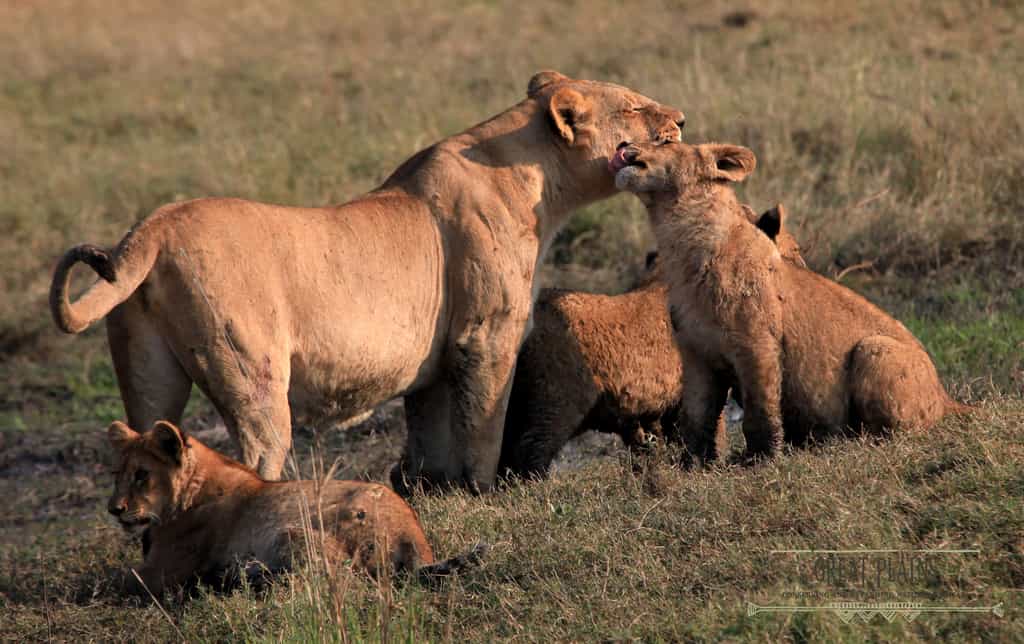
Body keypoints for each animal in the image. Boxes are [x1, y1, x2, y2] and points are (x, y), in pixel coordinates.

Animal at [50, 70, 685, 492]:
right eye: (634, 107)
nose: (681, 120)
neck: (535, 181)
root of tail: (151, 229)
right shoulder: (486, 336)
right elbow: (484, 423)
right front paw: (490, 494)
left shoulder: (434, 362)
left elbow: (431, 437)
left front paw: (433, 493)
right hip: (253, 374)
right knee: (253, 453)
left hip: (147, 374)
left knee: (147, 444)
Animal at [105, 420, 485, 596]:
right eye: (116, 474)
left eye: (141, 475)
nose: (114, 509)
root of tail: (414, 535)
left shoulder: (161, 571)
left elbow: (112, 580)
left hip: (293, 533)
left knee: (343, 581)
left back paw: (237, 579)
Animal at [499, 205, 806, 478]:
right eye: (795, 249)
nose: (804, 267)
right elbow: (712, 427)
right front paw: (713, 466)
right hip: (555, 401)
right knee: (529, 451)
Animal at [612, 140, 966, 461]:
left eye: (665, 141)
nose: (625, 145)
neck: (683, 248)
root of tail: (947, 398)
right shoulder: (695, 353)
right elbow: (697, 417)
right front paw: (694, 465)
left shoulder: (757, 344)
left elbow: (760, 408)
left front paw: (761, 459)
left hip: (874, 349)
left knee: (893, 433)